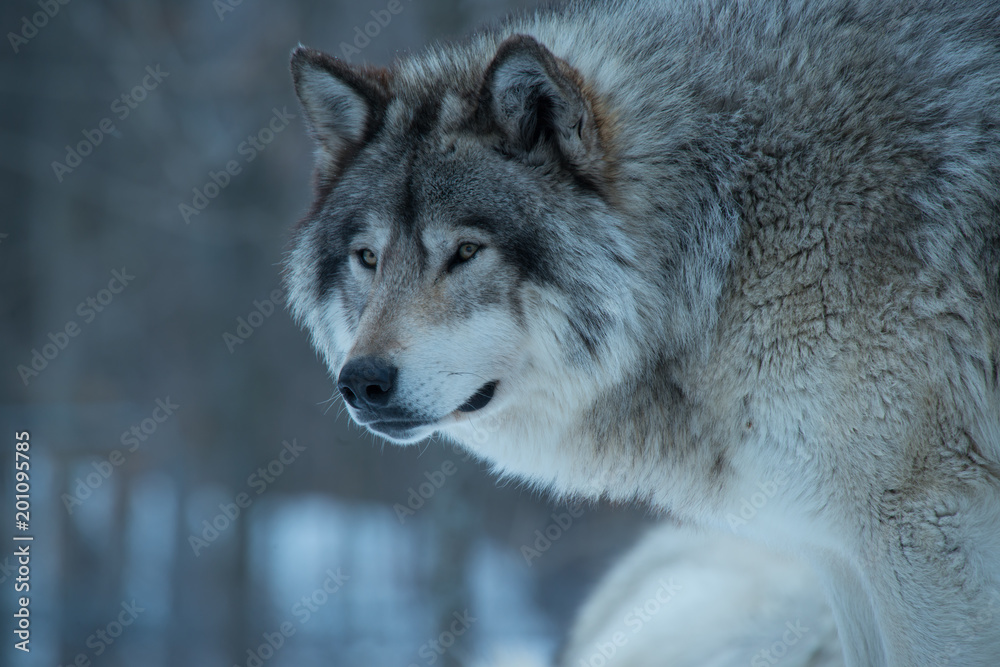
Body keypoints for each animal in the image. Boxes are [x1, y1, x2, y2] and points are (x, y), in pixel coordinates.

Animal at [284, 0, 1000, 664]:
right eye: (368, 258)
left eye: (465, 252)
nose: (361, 383)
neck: (723, 244)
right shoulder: (840, 554)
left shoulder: (921, 532)